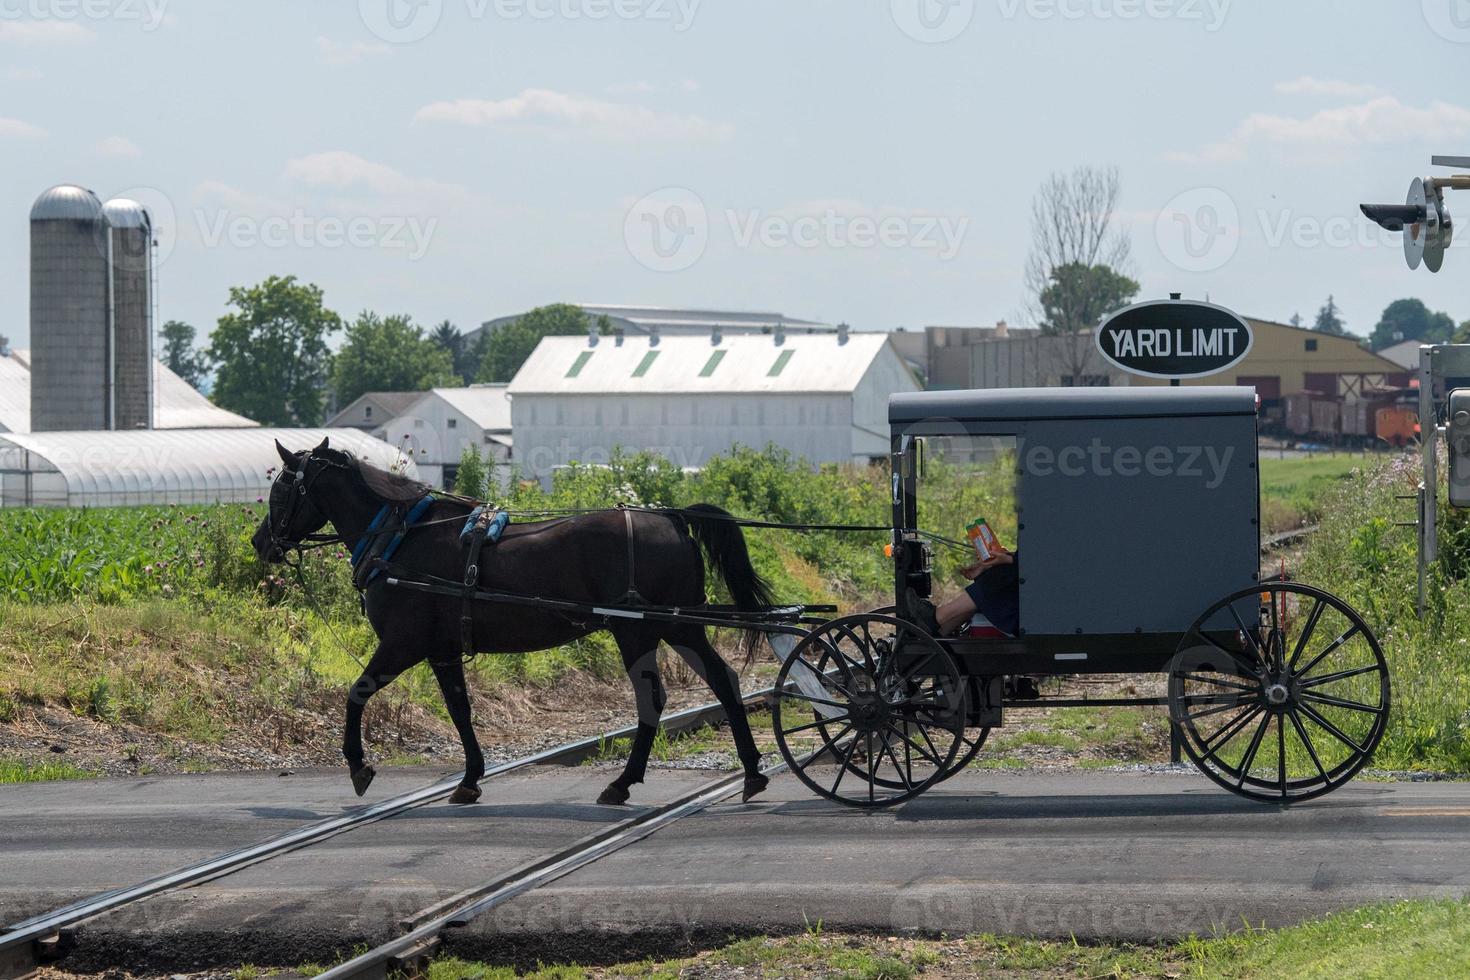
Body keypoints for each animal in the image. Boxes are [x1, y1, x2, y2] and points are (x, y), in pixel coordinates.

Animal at [254, 440, 776, 811]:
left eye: (281, 489)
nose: (262, 541)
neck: (400, 538)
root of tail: (671, 517)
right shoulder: (442, 649)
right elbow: (460, 710)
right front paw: (469, 779)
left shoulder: (403, 644)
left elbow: (357, 693)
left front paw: (359, 766)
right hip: (680, 628)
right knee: (723, 681)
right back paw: (750, 772)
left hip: (639, 631)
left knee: (654, 699)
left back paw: (624, 782)